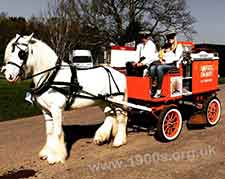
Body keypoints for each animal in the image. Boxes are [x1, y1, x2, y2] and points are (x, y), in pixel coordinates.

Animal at [1, 33, 128, 164]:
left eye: (21, 53)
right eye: (10, 52)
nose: (7, 74)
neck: (51, 76)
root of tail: (119, 73)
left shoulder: (56, 109)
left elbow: (57, 132)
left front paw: (55, 157)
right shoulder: (46, 111)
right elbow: (49, 132)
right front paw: (46, 153)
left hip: (117, 101)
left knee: (121, 118)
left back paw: (119, 141)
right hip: (104, 101)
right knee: (110, 115)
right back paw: (101, 137)